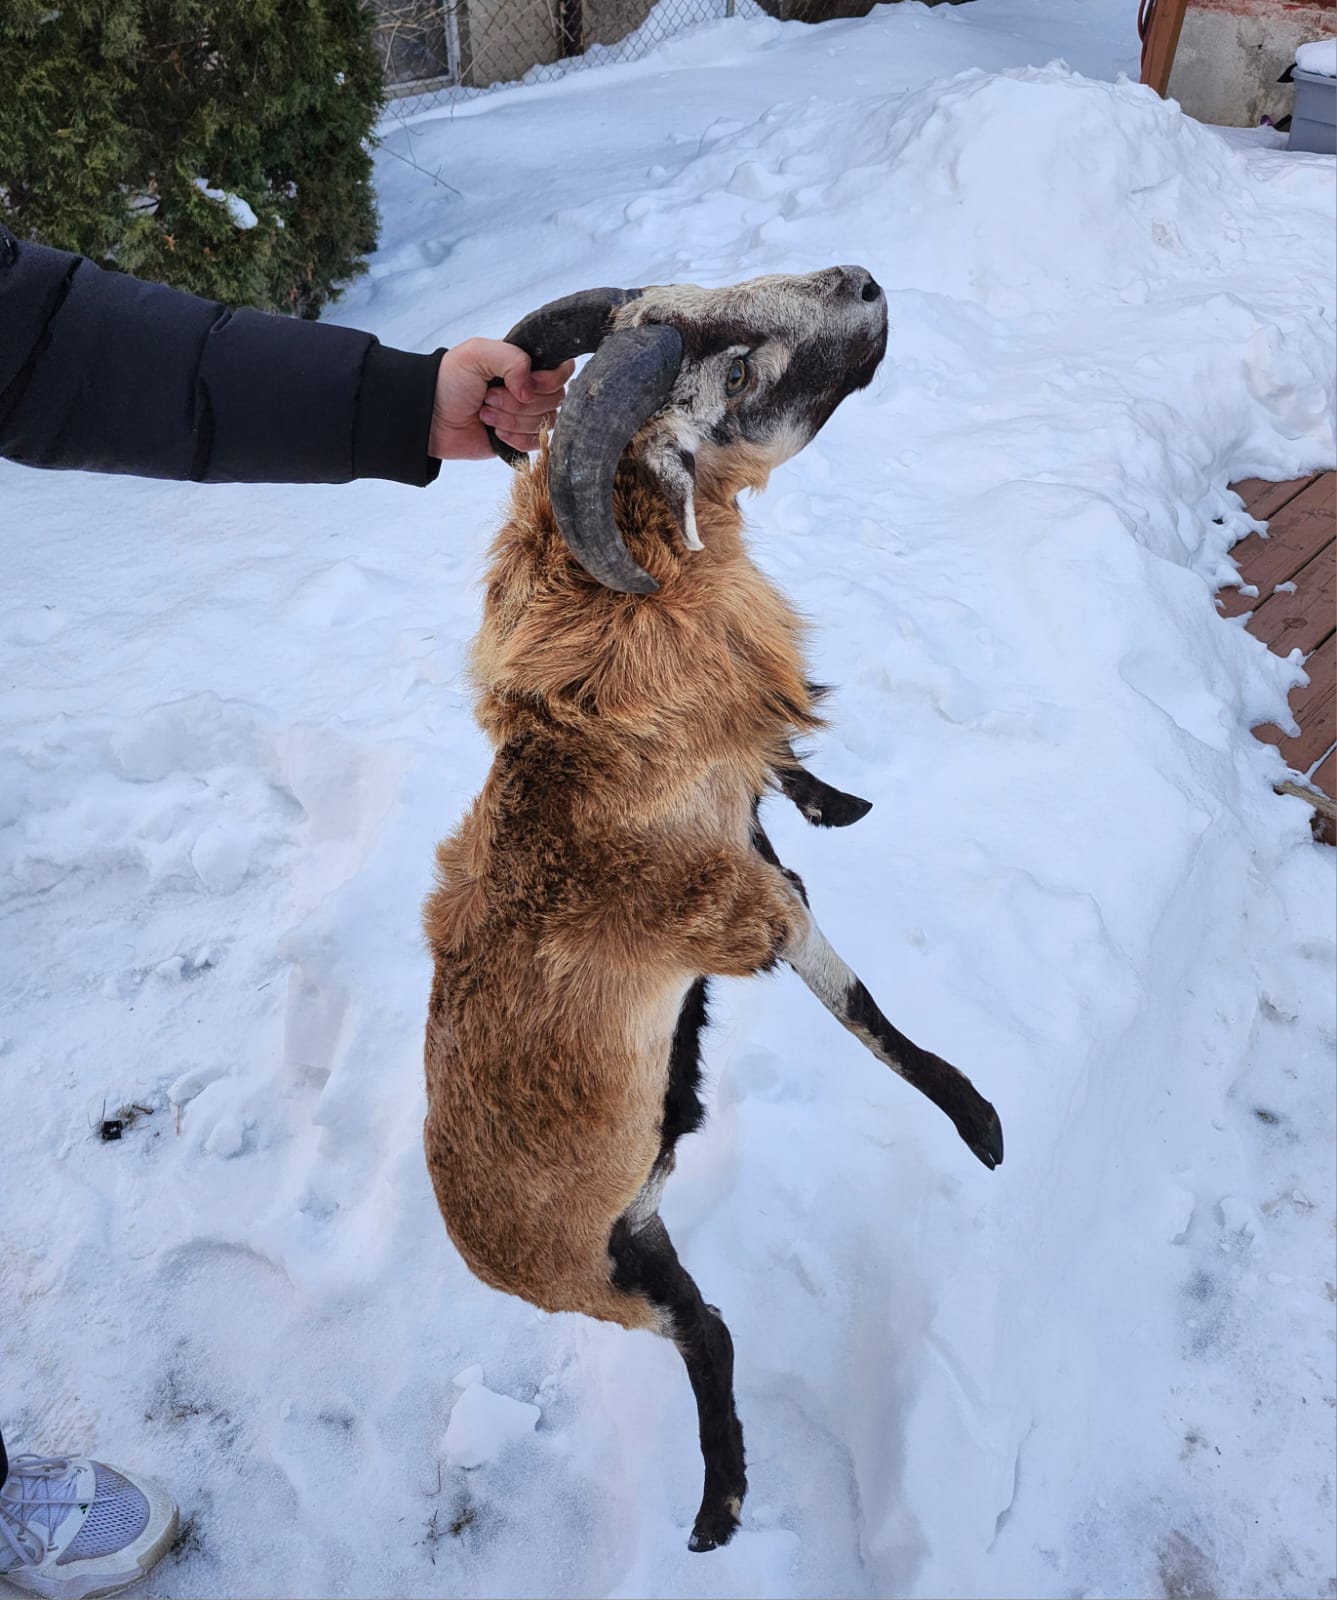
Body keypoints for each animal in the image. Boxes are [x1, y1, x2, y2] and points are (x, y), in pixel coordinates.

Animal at [423, 267, 1003, 1553]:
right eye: (731, 373)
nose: (861, 283)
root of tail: (474, 1242)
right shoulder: (747, 913)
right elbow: (861, 1010)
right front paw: (979, 1124)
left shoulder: (738, 814)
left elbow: (777, 781)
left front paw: (835, 798)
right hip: (609, 1280)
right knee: (708, 1335)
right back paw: (717, 1509)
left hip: (640, 1237)